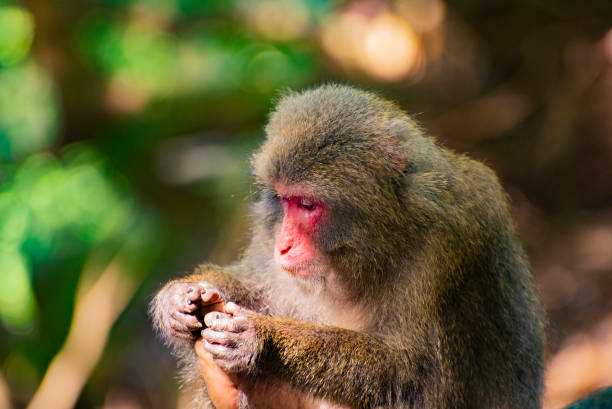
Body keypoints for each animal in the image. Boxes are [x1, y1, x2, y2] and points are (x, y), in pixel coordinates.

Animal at [153, 83, 544, 408]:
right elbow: (250, 286)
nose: (283, 245)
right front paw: (177, 298)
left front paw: (262, 339)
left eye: (306, 205)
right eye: (284, 201)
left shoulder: (447, 248)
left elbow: (418, 378)